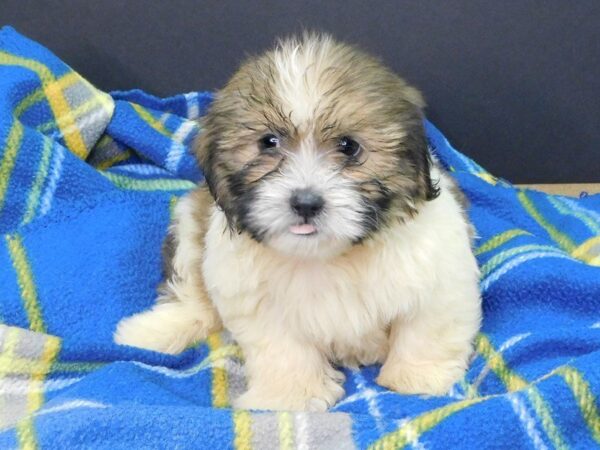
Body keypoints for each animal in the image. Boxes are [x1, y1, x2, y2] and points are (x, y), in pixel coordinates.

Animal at [113, 32, 482, 412]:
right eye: (268, 142)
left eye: (349, 146)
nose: (305, 203)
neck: (327, 257)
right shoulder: (253, 300)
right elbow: (282, 348)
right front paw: (292, 395)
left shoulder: (439, 275)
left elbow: (426, 329)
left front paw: (418, 377)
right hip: (189, 223)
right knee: (194, 297)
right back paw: (152, 332)